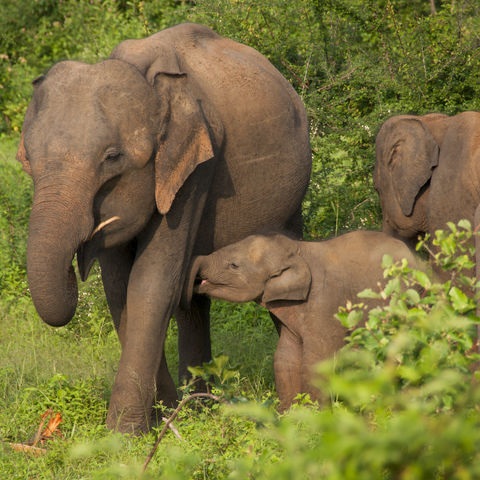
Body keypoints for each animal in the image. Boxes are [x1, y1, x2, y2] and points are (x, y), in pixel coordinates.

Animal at [16, 23, 312, 436]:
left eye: (112, 158)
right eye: (27, 159)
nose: (77, 265)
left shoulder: (196, 167)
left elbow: (151, 283)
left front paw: (122, 435)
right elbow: (120, 289)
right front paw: (164, 415)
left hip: (290, 202)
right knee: (194, 298)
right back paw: (198, 407)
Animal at [184, 231, 420, 410]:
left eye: (233, 265)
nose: (191, 288)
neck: (298, 249)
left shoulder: (326, 303)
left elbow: (317, 359)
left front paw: (311, 416)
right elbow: (285, 356)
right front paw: (286, 415)